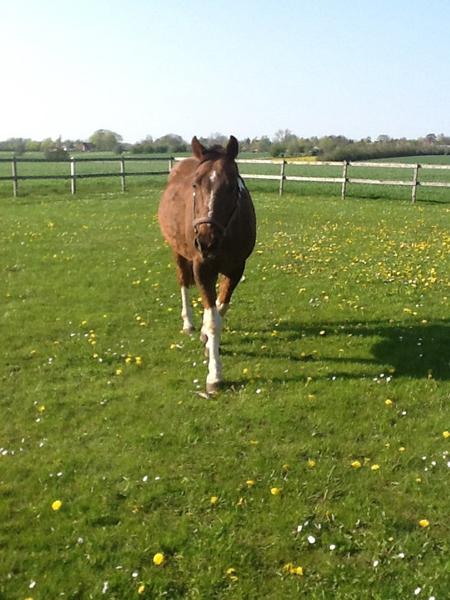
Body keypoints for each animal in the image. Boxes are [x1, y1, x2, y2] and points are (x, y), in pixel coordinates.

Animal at [158, 135, 256, 394]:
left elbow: (220, 309)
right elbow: (213, 321)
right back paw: (189, 323)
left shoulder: (236, 268)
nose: (206, 241)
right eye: (195, 185)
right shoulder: (202, 268)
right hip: (178, 252)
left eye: (232, 186)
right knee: (183, 282)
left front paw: (207, 341)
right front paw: (214, 375)